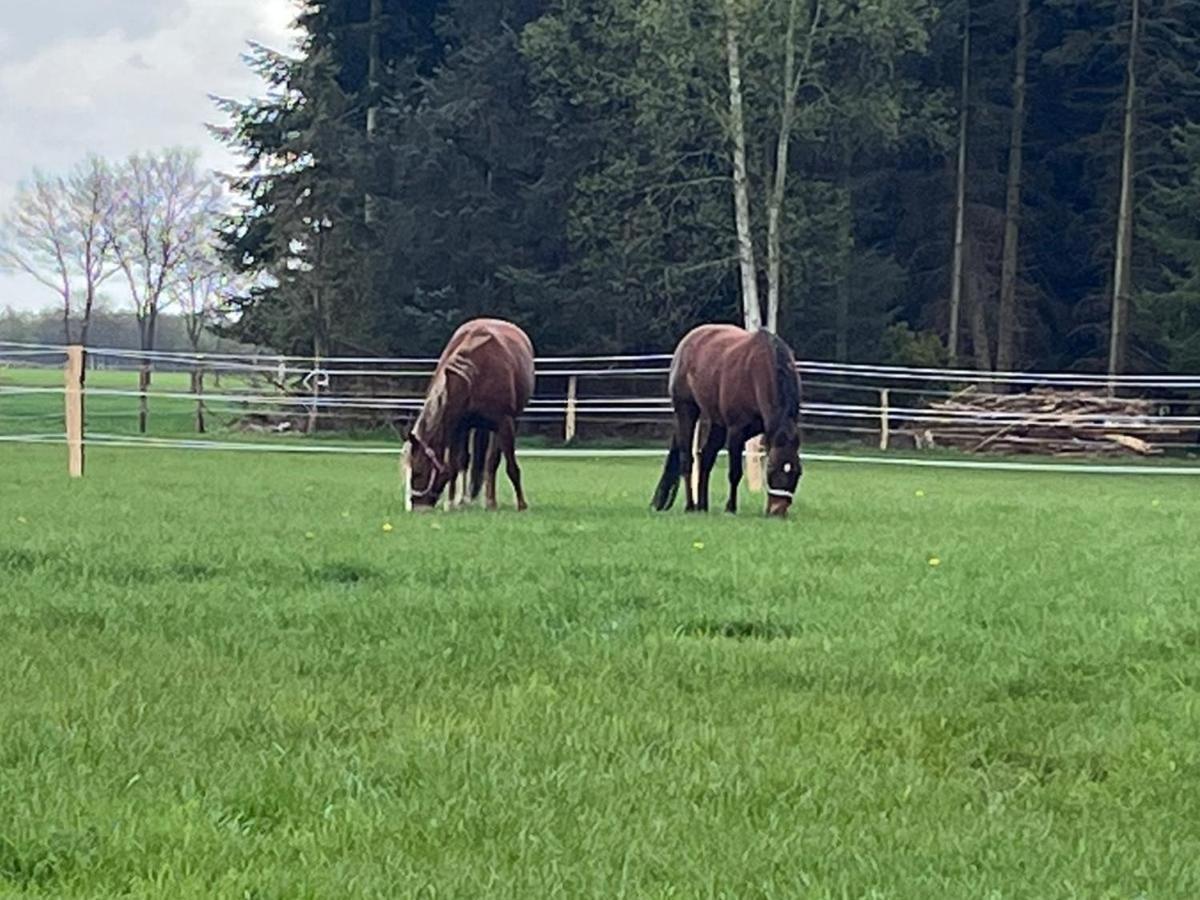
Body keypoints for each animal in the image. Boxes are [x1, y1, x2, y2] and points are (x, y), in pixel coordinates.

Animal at [405, 321, 532, 511]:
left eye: (418, 472)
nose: (417, 507)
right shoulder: (458, 425)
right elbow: (454, 465)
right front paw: (451, 503)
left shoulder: (505, 423)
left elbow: (510, 466)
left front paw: (521, 504)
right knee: (467, 460)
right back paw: (464, 500)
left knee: (491, 461)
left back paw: (490, 501)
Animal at [652, 328, 801, 518]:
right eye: (771, 469)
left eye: (797, 472)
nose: (777, 511)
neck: (758, 370)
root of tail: (687, 341)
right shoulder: (736, 431)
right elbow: (735, 472)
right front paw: (730, 508)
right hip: (686, 411)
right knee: (687, 459)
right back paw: (691, 506)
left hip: (717, 424)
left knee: (706, 457)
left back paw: (702, 506)